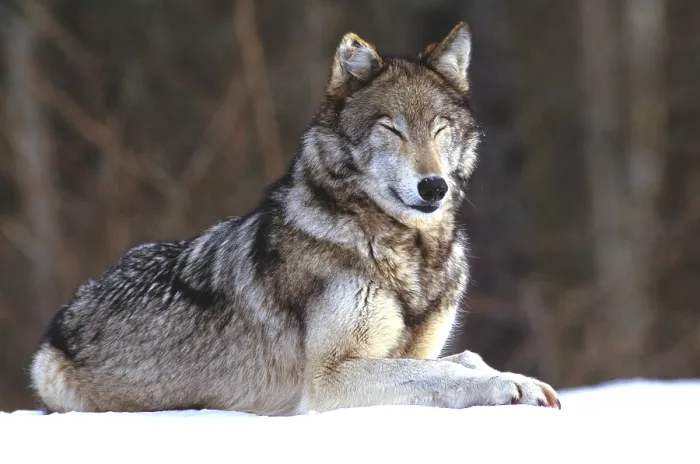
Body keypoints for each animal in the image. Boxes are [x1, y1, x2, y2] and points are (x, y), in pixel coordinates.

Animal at [30, 22, 560, 415]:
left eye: (439, 128)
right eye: (391, 128)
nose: (434, 187)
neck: (406, 250)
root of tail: (70, 306)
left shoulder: (417, 348)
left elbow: (465, 356)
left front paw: (522, 380)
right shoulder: (330, 378)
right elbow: (445, 371)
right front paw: (508, 385)